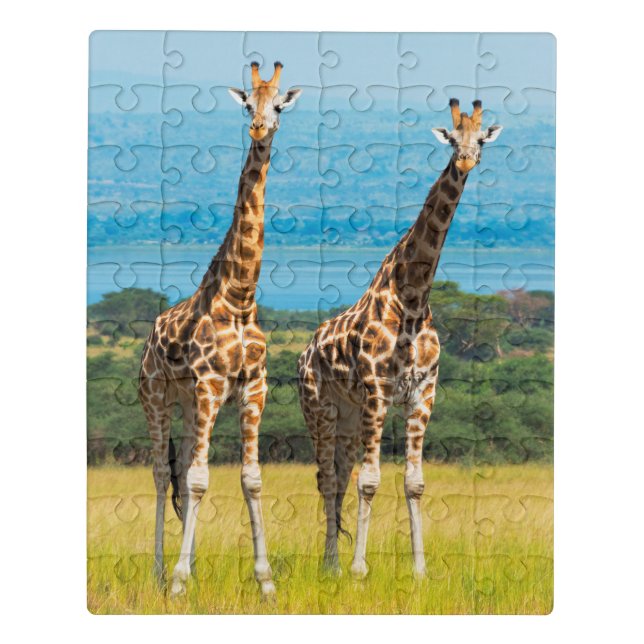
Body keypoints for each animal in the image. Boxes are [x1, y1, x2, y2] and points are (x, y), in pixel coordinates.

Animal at [139, 61, 301, 598]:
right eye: (248, 104)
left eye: (279, 105)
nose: (259, 129)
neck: (240, 299)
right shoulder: (210, 384)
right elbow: (196, 480)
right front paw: (179, 582)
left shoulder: (254, 388)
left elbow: (249, 478)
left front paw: (266, 581)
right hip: (158, 397)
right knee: (160, 474)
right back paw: (160, 571)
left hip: (191, 406)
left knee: (184, 467)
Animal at [297, 99, 502, 578]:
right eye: (452, 137)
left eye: (481, 140)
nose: (466, 160)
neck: (412, 298)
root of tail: (304, 352)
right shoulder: (377, 390)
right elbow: (370, 482)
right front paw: (359, 571)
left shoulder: (423, 393)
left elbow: (414, 483)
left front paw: (420, 571)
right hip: (321, 409)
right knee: (328, 479)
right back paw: (332, 566)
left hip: (350, 419)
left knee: (338, 478)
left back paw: (333, 562)